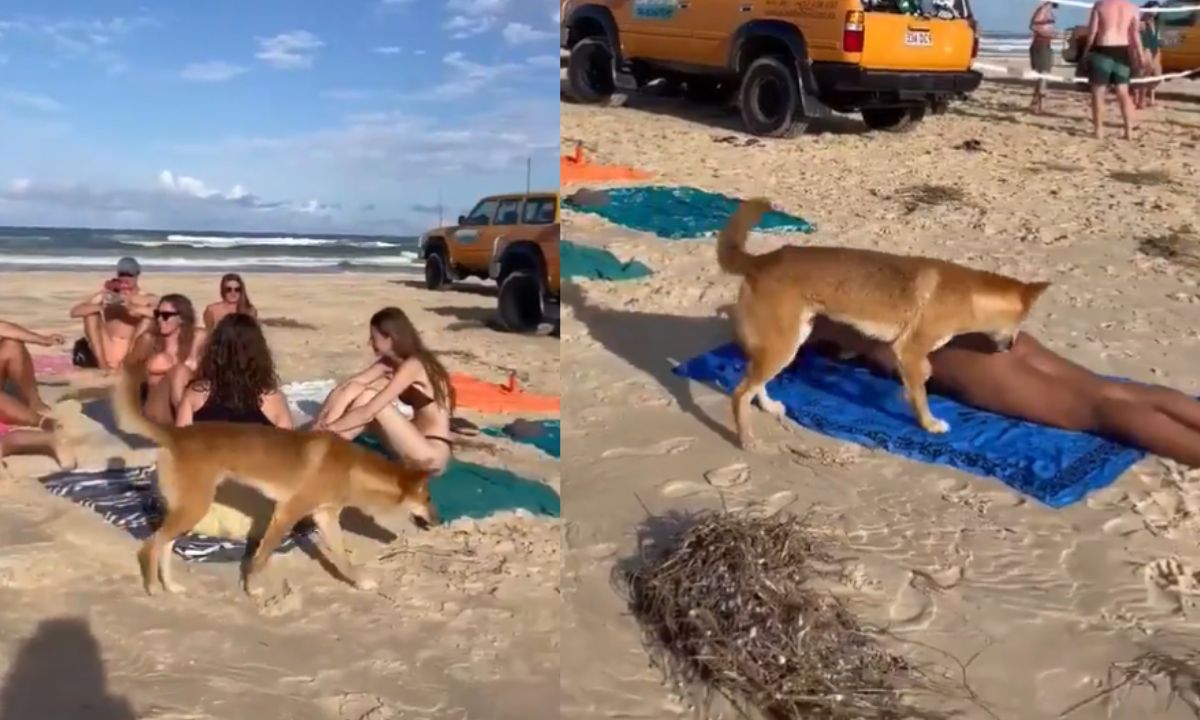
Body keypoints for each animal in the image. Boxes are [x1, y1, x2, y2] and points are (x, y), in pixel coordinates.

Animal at [110, 364, 439, 595]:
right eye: (428, 498)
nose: (437, 521)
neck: (352, 469)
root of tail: (175, 434)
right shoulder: (286, 513)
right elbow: (263, 555)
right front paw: (252, 588)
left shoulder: (325, 518)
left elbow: (343, 556)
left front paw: (358, 582)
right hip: (194, 507)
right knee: (150, 546)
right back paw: (153, 588)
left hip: (188, 509)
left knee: (164, 546)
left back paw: (171, 586)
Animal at [715, 196, 1046, 451]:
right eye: (1019, 325)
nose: (1011, 347)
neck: (968, 295)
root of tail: (763, 260)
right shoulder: (909, 349)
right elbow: (921, 393)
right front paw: (928, 423)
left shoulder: (907, 353)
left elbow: (922, 377)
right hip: (782, 346)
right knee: (739, 393)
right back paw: (746, 439)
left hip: (791, 340)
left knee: (755, 384)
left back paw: (769, 406)